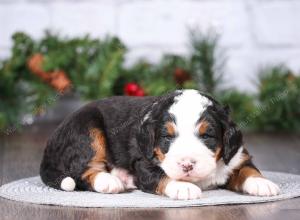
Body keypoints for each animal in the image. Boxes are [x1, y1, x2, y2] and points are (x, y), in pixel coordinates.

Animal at [41, 89, 280, 199]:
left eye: (207, 136)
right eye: (167, 137)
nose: (187, 164)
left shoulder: (236, 154)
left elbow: (247, 169)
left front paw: (261, 183)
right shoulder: (144, 161)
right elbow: (161, 175)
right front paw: (184, 187)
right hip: (88, 129)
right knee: (81, 170)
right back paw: (109, 181)